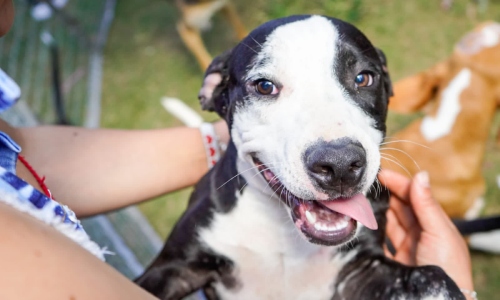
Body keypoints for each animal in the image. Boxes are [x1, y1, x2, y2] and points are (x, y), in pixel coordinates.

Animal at [136, 15, 464, 300]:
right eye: (264, 85)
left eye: (363, 78)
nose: (340, 164)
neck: (282, 230)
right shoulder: (175, 268)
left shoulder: (364, 270)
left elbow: (434, 274)